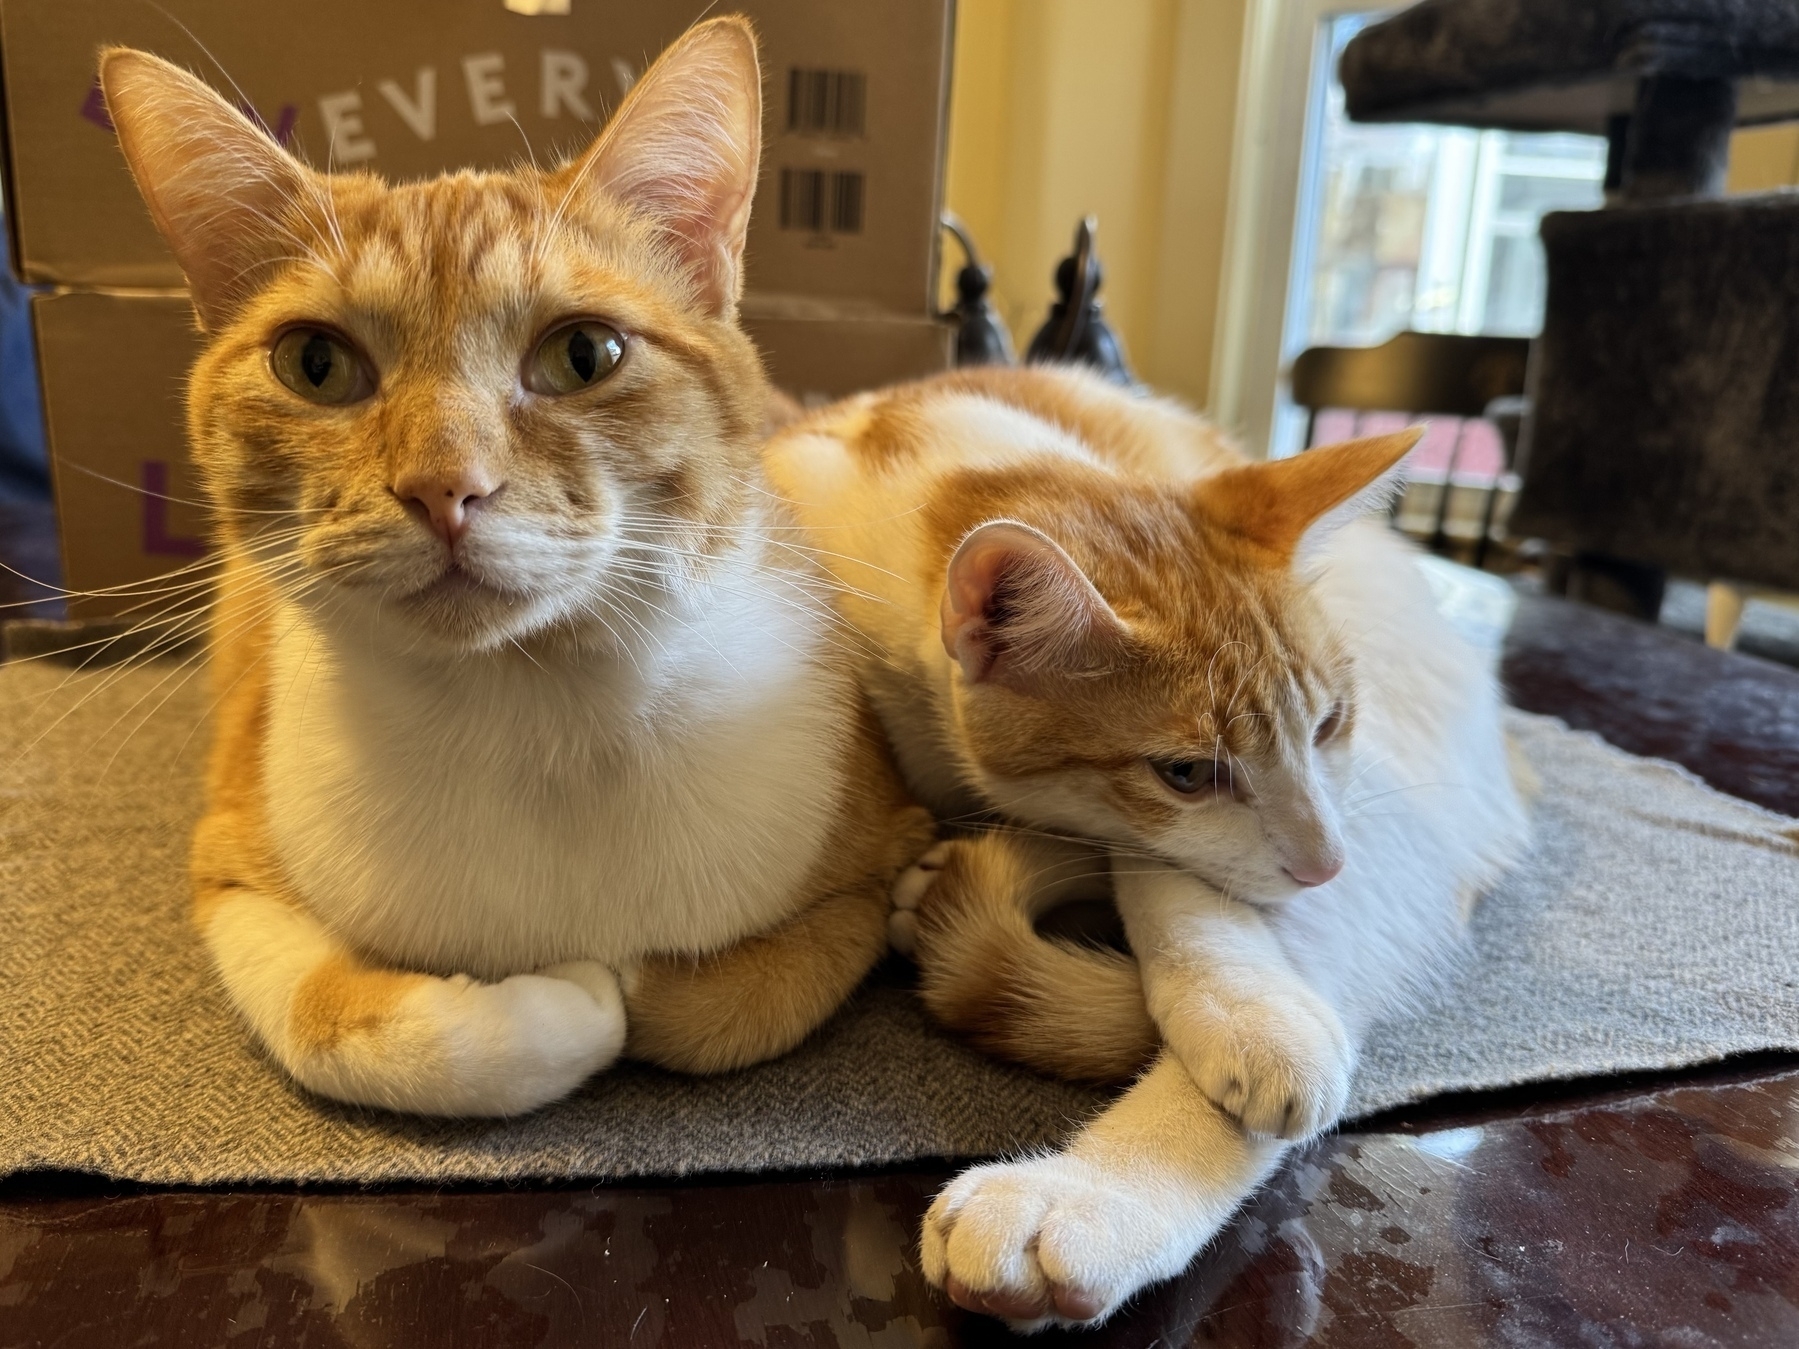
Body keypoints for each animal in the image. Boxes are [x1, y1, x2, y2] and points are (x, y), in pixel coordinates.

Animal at [96, 23, 928, 1122]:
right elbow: (339, 1024)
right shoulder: (228, 871)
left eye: (584, 354)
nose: (444, 487)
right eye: (315, 364)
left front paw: (639, 983)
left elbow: (724, 1007)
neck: (534, 712)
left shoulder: (874, 856)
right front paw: (570, 999)